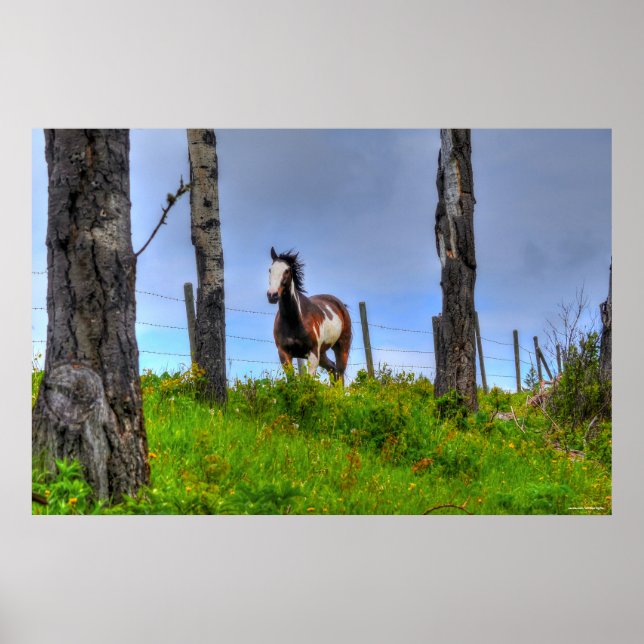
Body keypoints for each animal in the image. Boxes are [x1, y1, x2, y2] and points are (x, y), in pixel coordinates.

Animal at [267, 247, 352, 385]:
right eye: (270, 269)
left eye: (287, 270)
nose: (272, 295)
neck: (294, 320)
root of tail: (340, 304)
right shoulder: (284, 353)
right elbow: (292, 380)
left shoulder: (312, 353)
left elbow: (309, 381)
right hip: (322, 353)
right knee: (332, 369)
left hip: (341, 347)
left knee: (340, 373)